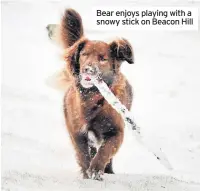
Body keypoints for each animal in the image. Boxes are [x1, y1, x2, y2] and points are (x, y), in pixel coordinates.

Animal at [59, 8, 134, 180]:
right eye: (84, 54)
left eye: (103, 59)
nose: (88, 69)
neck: (92, 97)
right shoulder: (76, 131)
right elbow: (83, 153)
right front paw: (88, 172)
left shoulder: (116, 131)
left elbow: (105, 151)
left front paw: (96, 169)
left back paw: (108, 170)